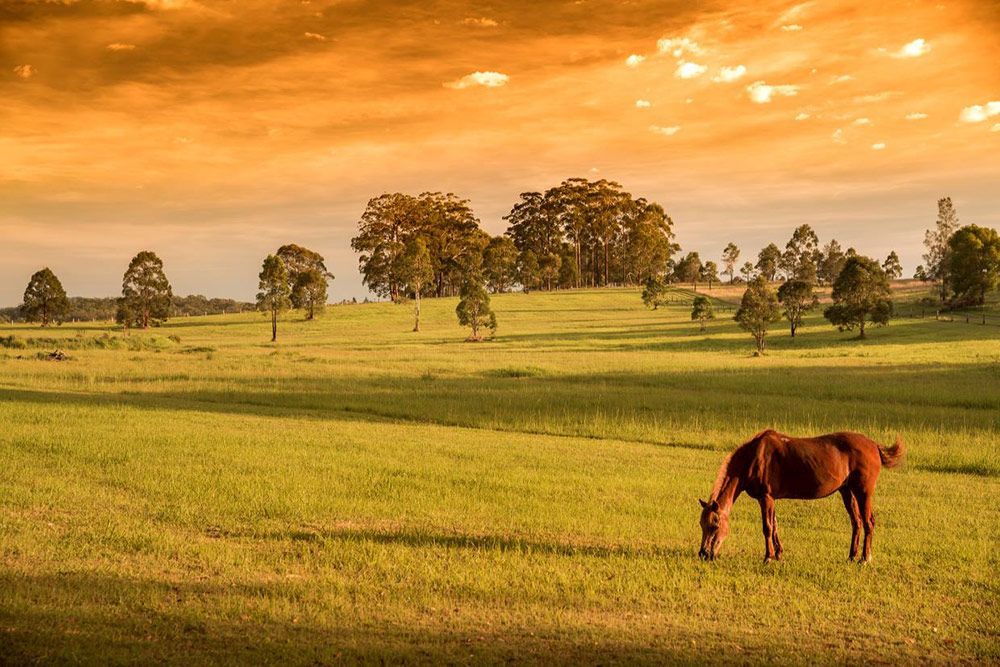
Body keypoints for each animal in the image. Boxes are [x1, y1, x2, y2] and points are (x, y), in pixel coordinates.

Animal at [698, 430, 904, 563]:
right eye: (702, 524)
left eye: (714, 525)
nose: (704, 554)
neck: (753, 458)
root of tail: (874, 445)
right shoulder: (771, 499)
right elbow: (775, 526)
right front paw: (778, 554)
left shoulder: (766, 497)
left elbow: (767, 527)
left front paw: (768, 557)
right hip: (847, 491)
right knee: (857, 522)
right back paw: (852, 556)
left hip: (863, 492)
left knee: (869, 522)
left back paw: (865, 558)